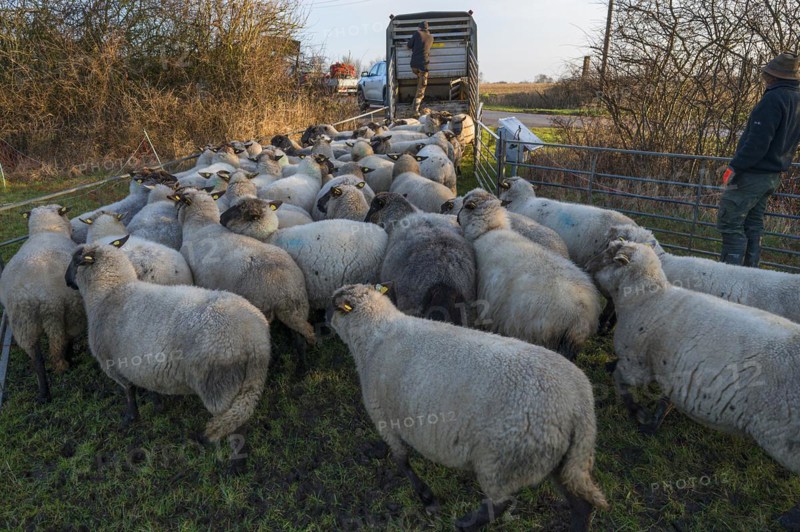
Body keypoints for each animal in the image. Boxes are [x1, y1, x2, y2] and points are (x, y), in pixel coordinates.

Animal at [0, 205, 86, 401]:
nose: (73, 229)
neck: (46, 230)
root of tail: (48, 299)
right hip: (71, 310)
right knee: (65, 340)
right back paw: (68, 362)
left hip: (24, 323)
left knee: (37, 358)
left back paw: (43, 395)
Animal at [64, 239, 270, 471]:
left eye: (74, 261)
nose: (66, 281)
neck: (111, 291)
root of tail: (255, 339)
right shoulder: (143, 365)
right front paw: (157, 404)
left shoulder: (112, 365)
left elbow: (129, 392)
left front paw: (130, 418)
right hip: (245, 383)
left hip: (220, 387)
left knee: (236, 424)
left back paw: (236, 464)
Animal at [172, 188, 316, 369]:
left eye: (179, 201)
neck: (202, 223)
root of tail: (283, 291)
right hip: (299, 307)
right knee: (301, 338)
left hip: (264, 309)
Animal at [330, 283, 608, 531]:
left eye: (333, 305)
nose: (323, 318)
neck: (376, 333)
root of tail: (580, 407)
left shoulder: (384, 416)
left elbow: (402, 461)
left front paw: (426, 497)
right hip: (561, 459)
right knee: (581, 505)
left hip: (499, 462)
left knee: (501, 504)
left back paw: (466, 524)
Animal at [585, 239, 800, 524]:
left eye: (607, 255)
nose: (585, 265)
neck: (647, 299)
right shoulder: (672, 369)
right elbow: (664, 398)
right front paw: (654, 420)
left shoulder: (635, 362)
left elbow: (621, 385)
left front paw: (640, 414)